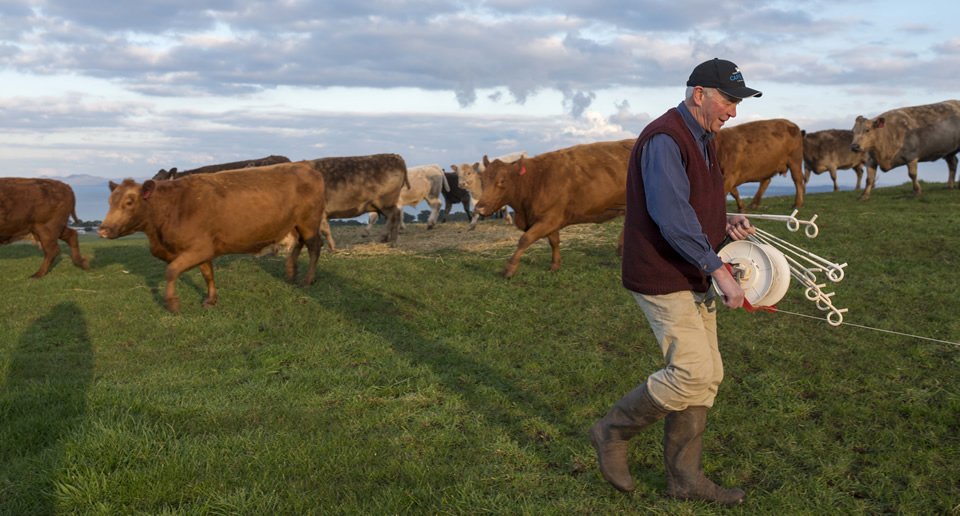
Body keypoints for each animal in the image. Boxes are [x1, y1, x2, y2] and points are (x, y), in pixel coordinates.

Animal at [97, 162, 324, 314]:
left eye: (128, 202)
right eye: (109, 201)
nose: (103, 230)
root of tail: (305, 165)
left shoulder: (199, 248)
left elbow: (171, 271)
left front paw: (172, 302)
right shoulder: (202, 249)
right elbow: (207, 274)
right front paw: (212, 299)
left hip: (309, 222)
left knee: (314, 247)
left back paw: (307, 279)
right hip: (296, 224)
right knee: (300, 243)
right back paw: (291, 271)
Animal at [474, 138, 636, 278]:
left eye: (502, 181)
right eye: (482, 180)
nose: (479, 208)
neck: (535, 180)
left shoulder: (549, 219)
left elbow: (525, 239)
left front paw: (510, 268)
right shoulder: (550, 220)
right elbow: (554, 241)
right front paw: (555, 264)